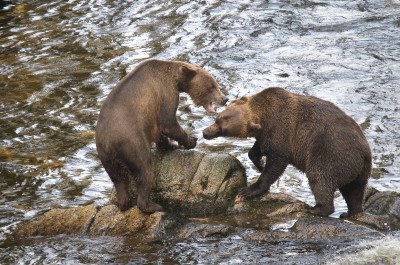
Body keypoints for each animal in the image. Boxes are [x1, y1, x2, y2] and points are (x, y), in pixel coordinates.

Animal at [95, 58, 227, 212]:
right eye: (211, 86)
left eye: (216, 84)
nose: (224, 98)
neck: (176, 79)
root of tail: (109, 142)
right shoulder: (165, 93)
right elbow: (168, 122)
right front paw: (190, 141)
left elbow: (160, 132)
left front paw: (171, 145)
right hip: (132, 142)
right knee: (144, 169)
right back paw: (153, 205)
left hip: (106, 157)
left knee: (118, 178)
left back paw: (124, 203)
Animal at [203, 86, 372, 217]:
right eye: (218, 118)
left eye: (223, 128)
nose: (205, 132)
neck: (265, 115)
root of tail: (364, 152)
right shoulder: (266, 134)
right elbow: (257, 150)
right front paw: (259, 163)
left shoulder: (282, 132)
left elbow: (276, 164)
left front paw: (248, 190)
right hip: (358, 169)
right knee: (354, 191)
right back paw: (351, 212)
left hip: (329, 152)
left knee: (319, 177)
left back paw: (317, 208)